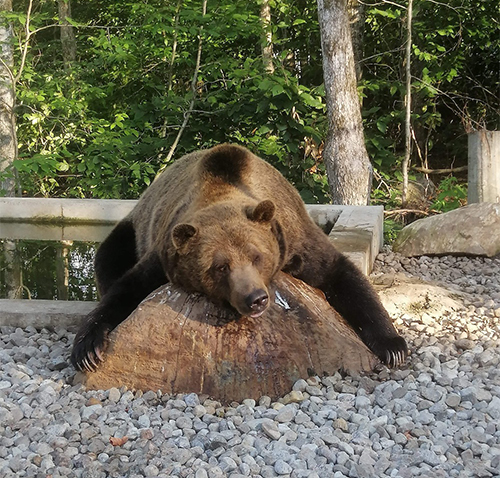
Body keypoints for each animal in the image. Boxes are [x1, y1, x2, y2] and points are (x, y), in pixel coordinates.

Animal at [72, 144, 408, 372]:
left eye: (256, 256)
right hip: (132, 228)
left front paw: (393, 346)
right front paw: (87, 347)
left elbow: (342, 275)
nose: (255, 298)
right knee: (108, 257)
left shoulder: (295, 242)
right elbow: (125, 289)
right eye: (220, 266)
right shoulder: (164, 254)